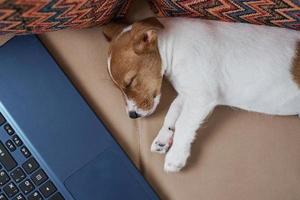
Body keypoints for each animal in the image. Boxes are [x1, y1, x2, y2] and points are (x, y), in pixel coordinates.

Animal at [103, 17, 300, 172]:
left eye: (130, 81)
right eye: (119, 88)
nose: (132, 116)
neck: (172, 46)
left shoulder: (201, 96)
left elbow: (183, 123)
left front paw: (176, 156)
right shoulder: (187, 93)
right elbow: (172, 112)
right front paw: (163, 138)